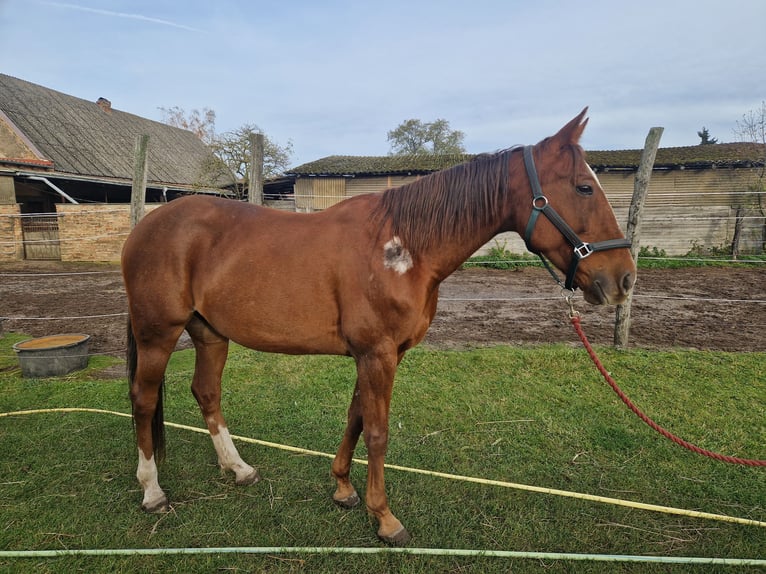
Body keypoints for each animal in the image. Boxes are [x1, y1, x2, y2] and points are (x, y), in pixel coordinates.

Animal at [122, 108, 636, 545]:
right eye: (584, 188)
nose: (624, 278)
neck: (403, 247)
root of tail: (145, 227)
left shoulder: (378, 355)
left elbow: (356, 418)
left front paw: (343, 490)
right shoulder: (377, 354)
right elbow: (378, 433)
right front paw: (385, 518)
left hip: (210, 333)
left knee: (207, 392)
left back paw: (238, 468)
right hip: (157, 333)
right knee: (143, 400)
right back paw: (152, 491)